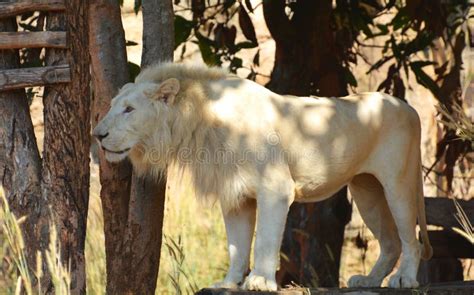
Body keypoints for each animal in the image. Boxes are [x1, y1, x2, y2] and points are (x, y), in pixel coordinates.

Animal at [93, 62, 434, 292]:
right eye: (112, 106)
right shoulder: (234, 194)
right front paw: (229, 282)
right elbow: (237, 244)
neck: (201, 123)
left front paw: (259, 280)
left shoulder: (276, 188)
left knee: (411, 239)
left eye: (129, 109)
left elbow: (266, 240)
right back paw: (370, 280)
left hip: (399, 183)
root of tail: (407, 106)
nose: (97, 135)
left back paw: (404, 279)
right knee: (390, 242)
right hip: (366, 190)